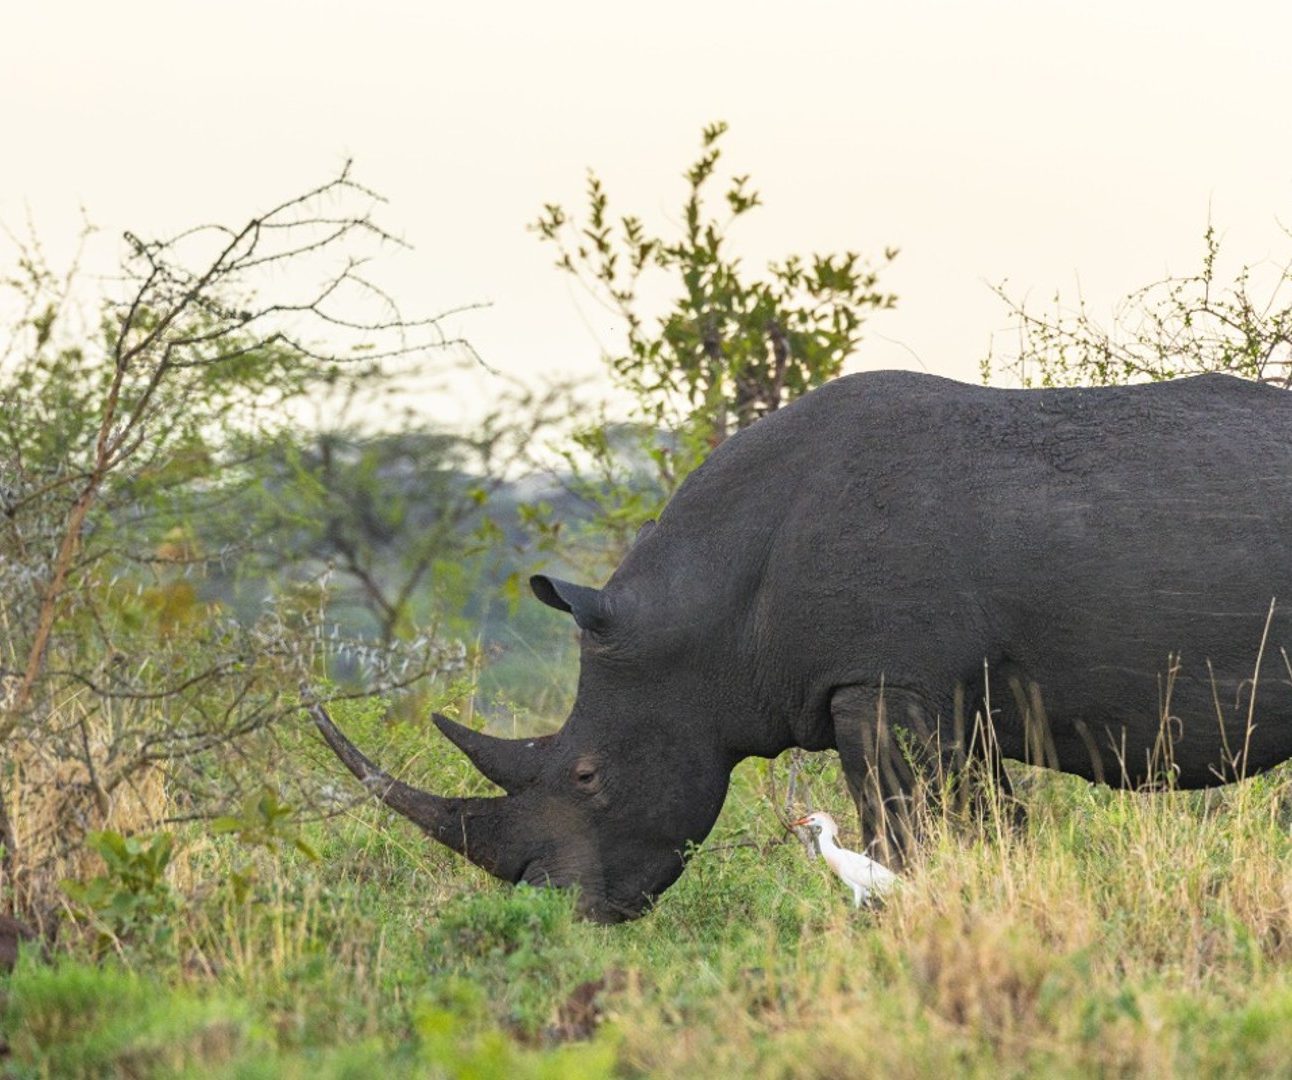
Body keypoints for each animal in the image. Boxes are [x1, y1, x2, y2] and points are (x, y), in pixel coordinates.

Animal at [312, 369, 1292, 919]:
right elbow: (991, 824)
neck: (705, 617)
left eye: (586, 777)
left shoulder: (884, 680)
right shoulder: (939, 688)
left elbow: (911, 826)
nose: (550, 911)